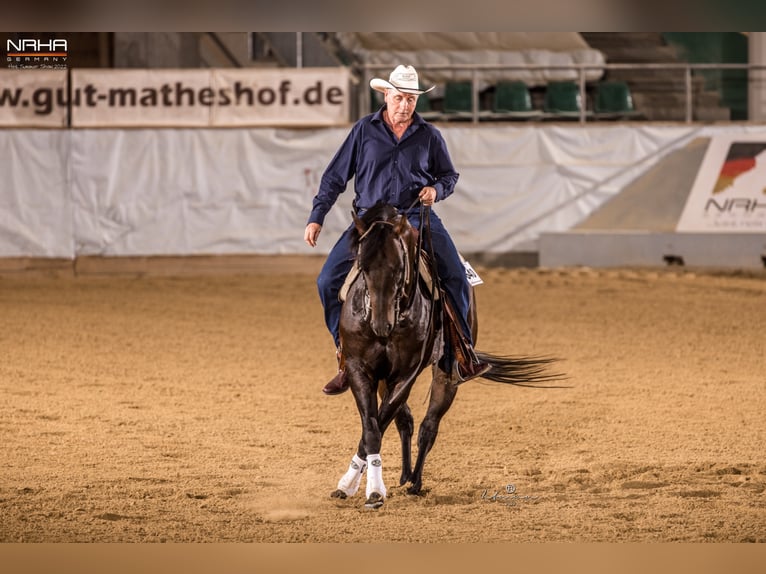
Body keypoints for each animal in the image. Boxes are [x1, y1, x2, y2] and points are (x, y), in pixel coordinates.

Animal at [332, 205, 560, 510]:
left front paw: (373, 490)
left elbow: (380, 424)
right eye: (363, 266)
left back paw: (415, 482)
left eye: (398, 267)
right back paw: (405, 475)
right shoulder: (360, 369)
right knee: (404, 421)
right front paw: (351, 485)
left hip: (447, 374)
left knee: (428, 426)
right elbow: (372, 427)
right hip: (383, 378)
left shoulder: (406, 374)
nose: (381, 324)